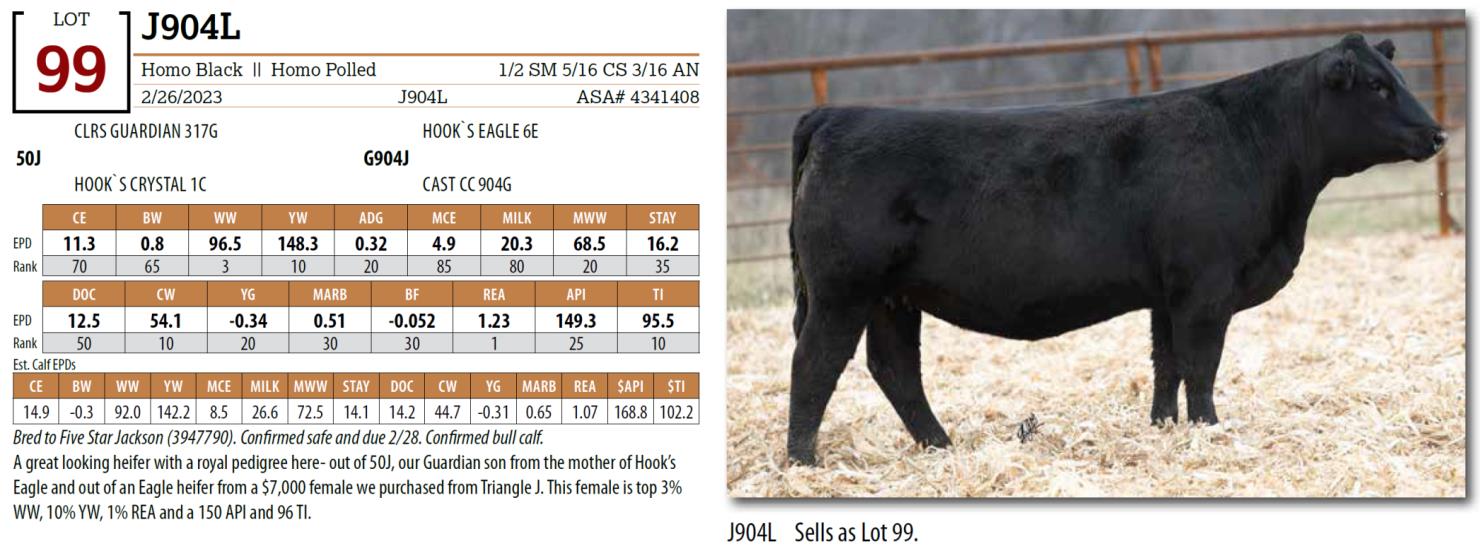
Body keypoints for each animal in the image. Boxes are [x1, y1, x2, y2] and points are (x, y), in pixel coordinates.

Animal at [786, 34, 1447, 465]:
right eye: (1376, 86)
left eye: (1397, 79)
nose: (1437, 133)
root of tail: (837, 116)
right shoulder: (1205, 288)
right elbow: (1200, 365)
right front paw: (1208, 432)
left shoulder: (1167, 293)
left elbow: (1166, 364)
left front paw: (1163, 429)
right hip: (844, 291)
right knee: (815, 364)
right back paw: (803, 462)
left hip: (893, 297)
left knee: (894, 368)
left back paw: (942, 448)